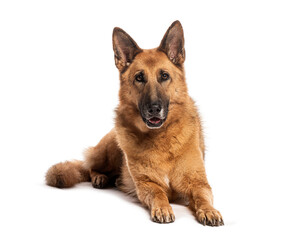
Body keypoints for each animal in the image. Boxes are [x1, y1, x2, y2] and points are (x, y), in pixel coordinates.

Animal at [45, 21, 224, 227]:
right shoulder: (146, 184)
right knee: (88, 167)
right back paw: (100, 177)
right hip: (108, 149)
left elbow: (203, 197)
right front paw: (163, 208)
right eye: (139, 78)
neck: (161, 137)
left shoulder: (198, 183)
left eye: (164, 76)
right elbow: (159, 193)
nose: (154, 109)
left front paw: (209, 211)